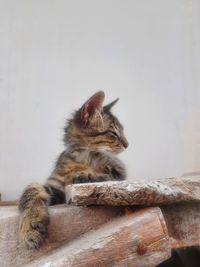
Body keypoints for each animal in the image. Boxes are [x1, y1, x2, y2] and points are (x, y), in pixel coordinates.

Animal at [18, 91, 128, 250]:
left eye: (122, 132)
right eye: (113, 134)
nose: (128, 144)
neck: (84, 157)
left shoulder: (119, 172)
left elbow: (104, 176)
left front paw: (86, 175)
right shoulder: (55, 186)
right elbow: (31, 188)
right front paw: (30, 227)